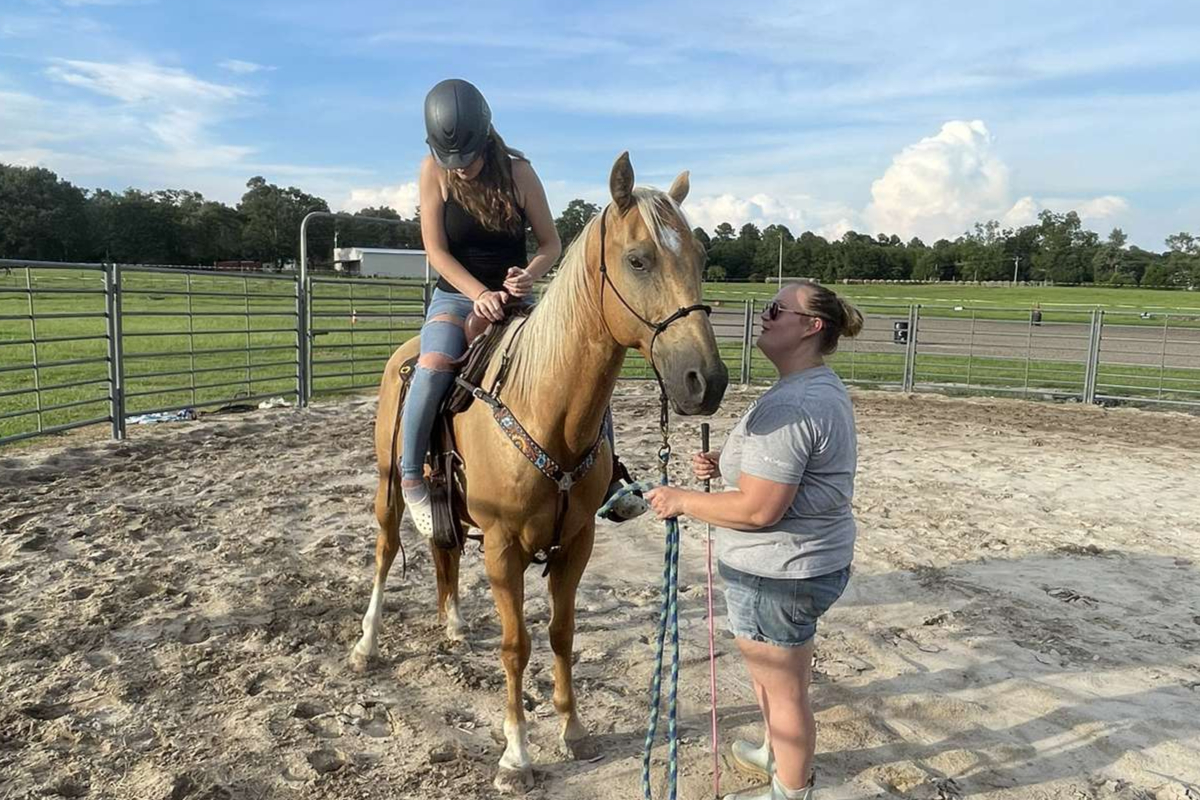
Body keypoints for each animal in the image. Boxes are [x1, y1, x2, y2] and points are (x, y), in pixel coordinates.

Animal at [351, 152, 729, 792]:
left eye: (701, 258)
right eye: (638, 259)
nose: (706, 381)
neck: (543, 405)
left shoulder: (577, 541)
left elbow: (560, 632)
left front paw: (573, 731)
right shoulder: (503, 547)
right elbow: (515, 645)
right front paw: (516, 756)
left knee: (445, 553)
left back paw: (454, 624)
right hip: (388, 485)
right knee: (384, 553)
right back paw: (367, 643)